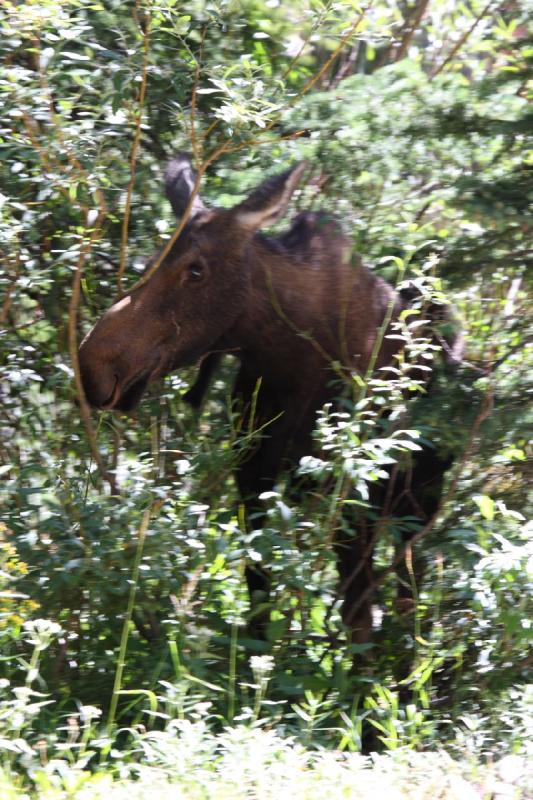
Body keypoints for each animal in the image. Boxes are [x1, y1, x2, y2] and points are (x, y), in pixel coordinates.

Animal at [79, 155, 454, 644]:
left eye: (195, 269)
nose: (92, 367)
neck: (289, 360)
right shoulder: (252, 478)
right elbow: (258, 599)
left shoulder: (351, 492)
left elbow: (358, 620)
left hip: (416, 504)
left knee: (409, 591)